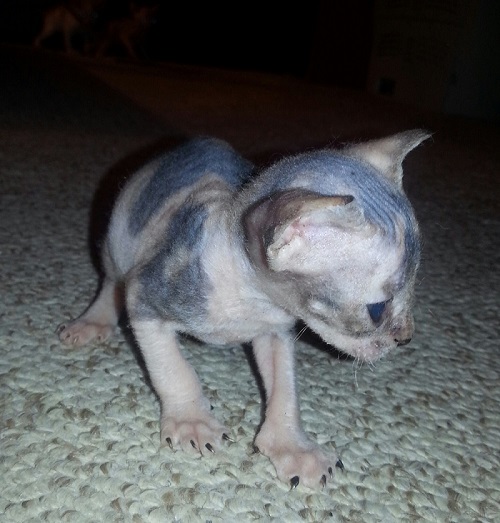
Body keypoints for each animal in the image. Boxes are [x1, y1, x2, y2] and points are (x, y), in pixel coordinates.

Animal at [58, 130, 430, 489]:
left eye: (414, 288)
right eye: (377, 310)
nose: (406, 339)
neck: (248, 297)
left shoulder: (275, 331)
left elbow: (285, 390)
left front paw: (293, 448)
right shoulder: (146, 295)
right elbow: (173, 370)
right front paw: (191, 420)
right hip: (117, 240)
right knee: (110, 280)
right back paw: (93, 321)